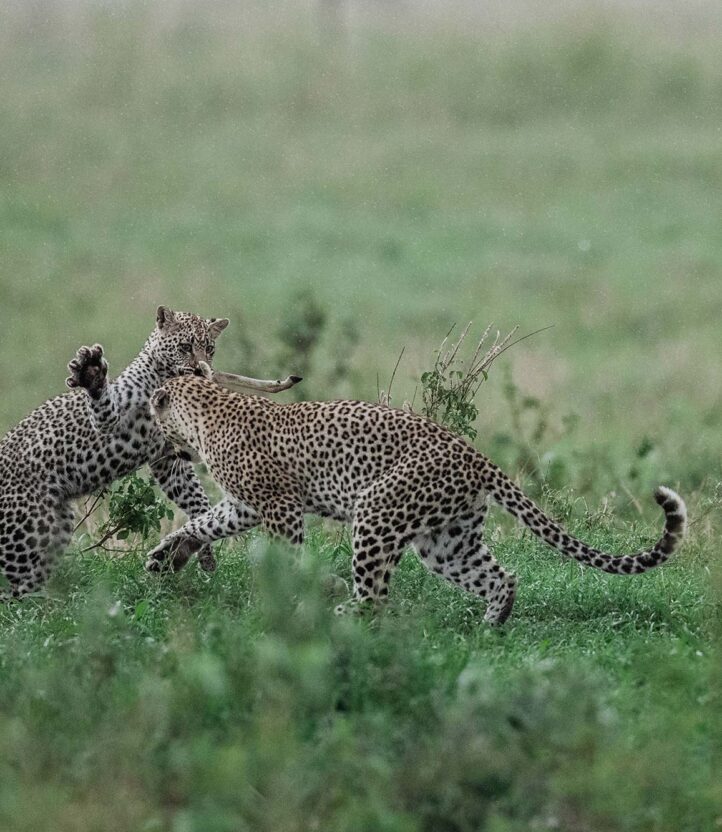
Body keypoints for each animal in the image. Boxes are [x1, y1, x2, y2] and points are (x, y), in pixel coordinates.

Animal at [0, 306, 298, 600]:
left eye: (210, 348)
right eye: (185, 346)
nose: (201, 371)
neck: (166, 379)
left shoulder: (168, 460)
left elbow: (197, 500)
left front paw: (200, 551)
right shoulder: (113, 419)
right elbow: (103, 405)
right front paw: (92, 373)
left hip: (53, 525)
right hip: (24, 529)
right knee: (12, 587)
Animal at [145, 370, 688, 624]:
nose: (158, 443)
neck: (205, 414)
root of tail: (473, 453)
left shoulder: (279, 507)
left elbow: (288, 556)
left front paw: (296, 591)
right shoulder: (244, 504)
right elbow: (202, 522)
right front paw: (167, 554)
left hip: (377, 511)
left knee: (375, 597)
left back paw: (337, 614)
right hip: (446, 540)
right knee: (500, 577)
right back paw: (491, 627)